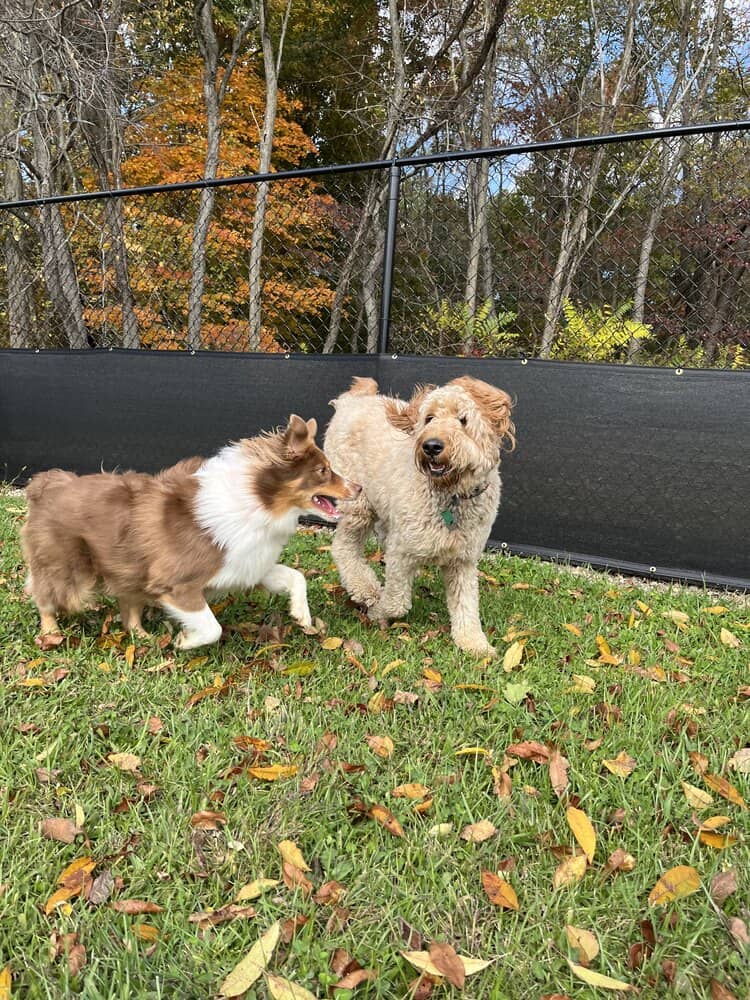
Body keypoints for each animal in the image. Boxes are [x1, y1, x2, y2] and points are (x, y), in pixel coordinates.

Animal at [23, 414, 362, 648]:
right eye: (323, 471)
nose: (358, 487)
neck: (259, 503)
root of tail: (49, 484)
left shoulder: (246, 562)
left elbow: (296, 576)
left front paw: (301, 614)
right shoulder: (178, 584)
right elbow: (212, 628)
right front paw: (185, 640)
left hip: (128, 567)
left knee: (129, 610)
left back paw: (143, 637)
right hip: (69, 567)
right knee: (46, 596)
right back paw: (51, 633)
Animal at [326, 376, 516, 656]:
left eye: (463, 420)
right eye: (429, 418)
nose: (431, 446)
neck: (451, 495)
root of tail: (354, 399)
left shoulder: (463, 561)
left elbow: (467, 605)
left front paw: (475, 644)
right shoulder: (402, 552)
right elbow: (396, 601)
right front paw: (377, 611)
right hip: (358, 502)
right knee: (343, 546)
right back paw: (366, 589)